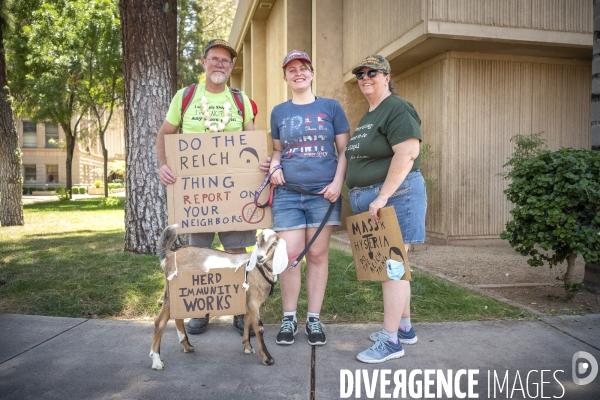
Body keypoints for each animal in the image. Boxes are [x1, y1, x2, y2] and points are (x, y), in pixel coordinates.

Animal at [151, 225, 290, 368]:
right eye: (257, 243)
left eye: (274, 243)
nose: (260, 257)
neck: (260, 269)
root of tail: (170, 255)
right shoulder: (253, 301)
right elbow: (258, 327)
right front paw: (267, 358)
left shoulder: (247, 301)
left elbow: (247, 322)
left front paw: (247, 346)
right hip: (172, 293)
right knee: (160, 322)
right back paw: (156, 361)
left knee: (178, 317)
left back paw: (187, 346)